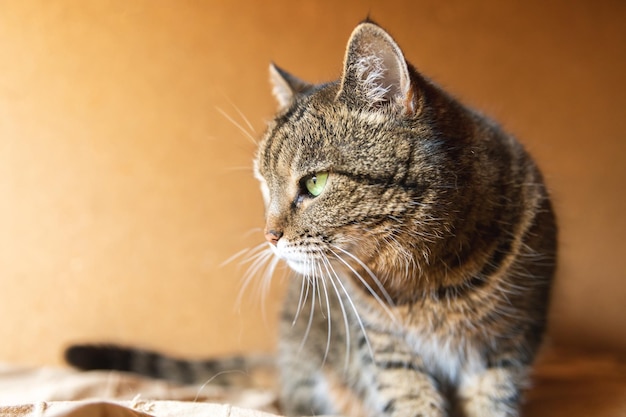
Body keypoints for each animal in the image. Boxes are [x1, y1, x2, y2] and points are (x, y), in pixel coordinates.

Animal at [67, 20, 556, 416]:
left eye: (315, 183)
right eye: (264, 185)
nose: (269, 235)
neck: (427, 284)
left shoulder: (507, 352)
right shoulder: (388, 352)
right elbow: (412, 401)